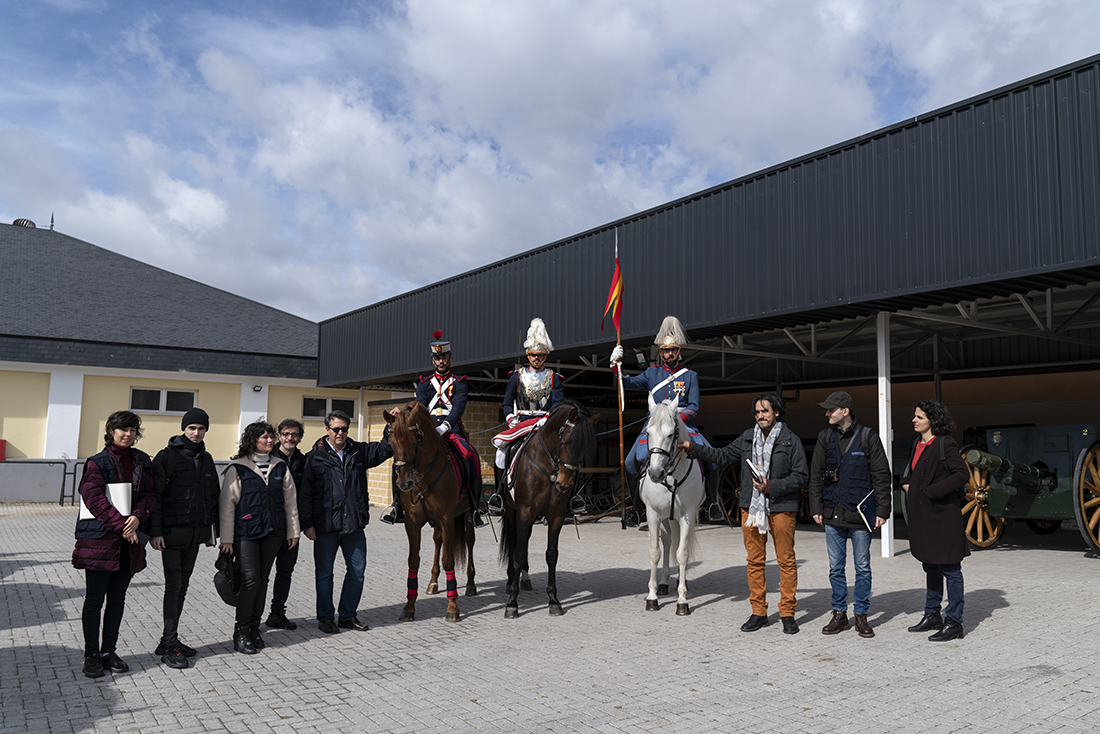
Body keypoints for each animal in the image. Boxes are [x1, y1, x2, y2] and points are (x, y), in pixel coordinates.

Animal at [384, 400, 477, 622]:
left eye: (413, 442)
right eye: (391, 443)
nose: (404, 483)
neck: (423, 476)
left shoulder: (446, 519)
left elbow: (449, 560)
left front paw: (452, 607)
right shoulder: (412, 522)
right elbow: (413, 560)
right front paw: (409, 606)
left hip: (467, 515)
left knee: (469, 541)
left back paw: (470, 584)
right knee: (437, 541)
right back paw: (433, 583)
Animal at [499, 399, 598, 618]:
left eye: (585, 447)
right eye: (567, 441)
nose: (564, 484)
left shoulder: (556, 515)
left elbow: (552, 555)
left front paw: (553, 600)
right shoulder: (523, 512)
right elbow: (518, 553)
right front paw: (512, 603)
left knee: (524, 541)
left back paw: (525, 579)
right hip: (511, 512)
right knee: (513, 542)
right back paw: (510, 583)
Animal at [638, 395, 705, 615]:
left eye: (670, 434)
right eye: (648, 432)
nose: (655, 473)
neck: (670, 475)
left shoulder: (687, 515)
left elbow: (682, 554)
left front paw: (682, 601)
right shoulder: (653, 514)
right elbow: (655, 552)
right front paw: (652, 597)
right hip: (665, 517)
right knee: (667, 542)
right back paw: (664, 582)